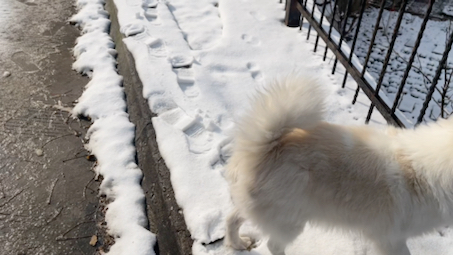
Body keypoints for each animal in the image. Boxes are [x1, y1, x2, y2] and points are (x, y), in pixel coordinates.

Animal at [225, 76, 453, 255]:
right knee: (273, 245)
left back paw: (239, 244)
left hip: (261, 208)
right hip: (290, 222)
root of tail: (262, 148)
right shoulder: (392, 239)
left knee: (232, 218)